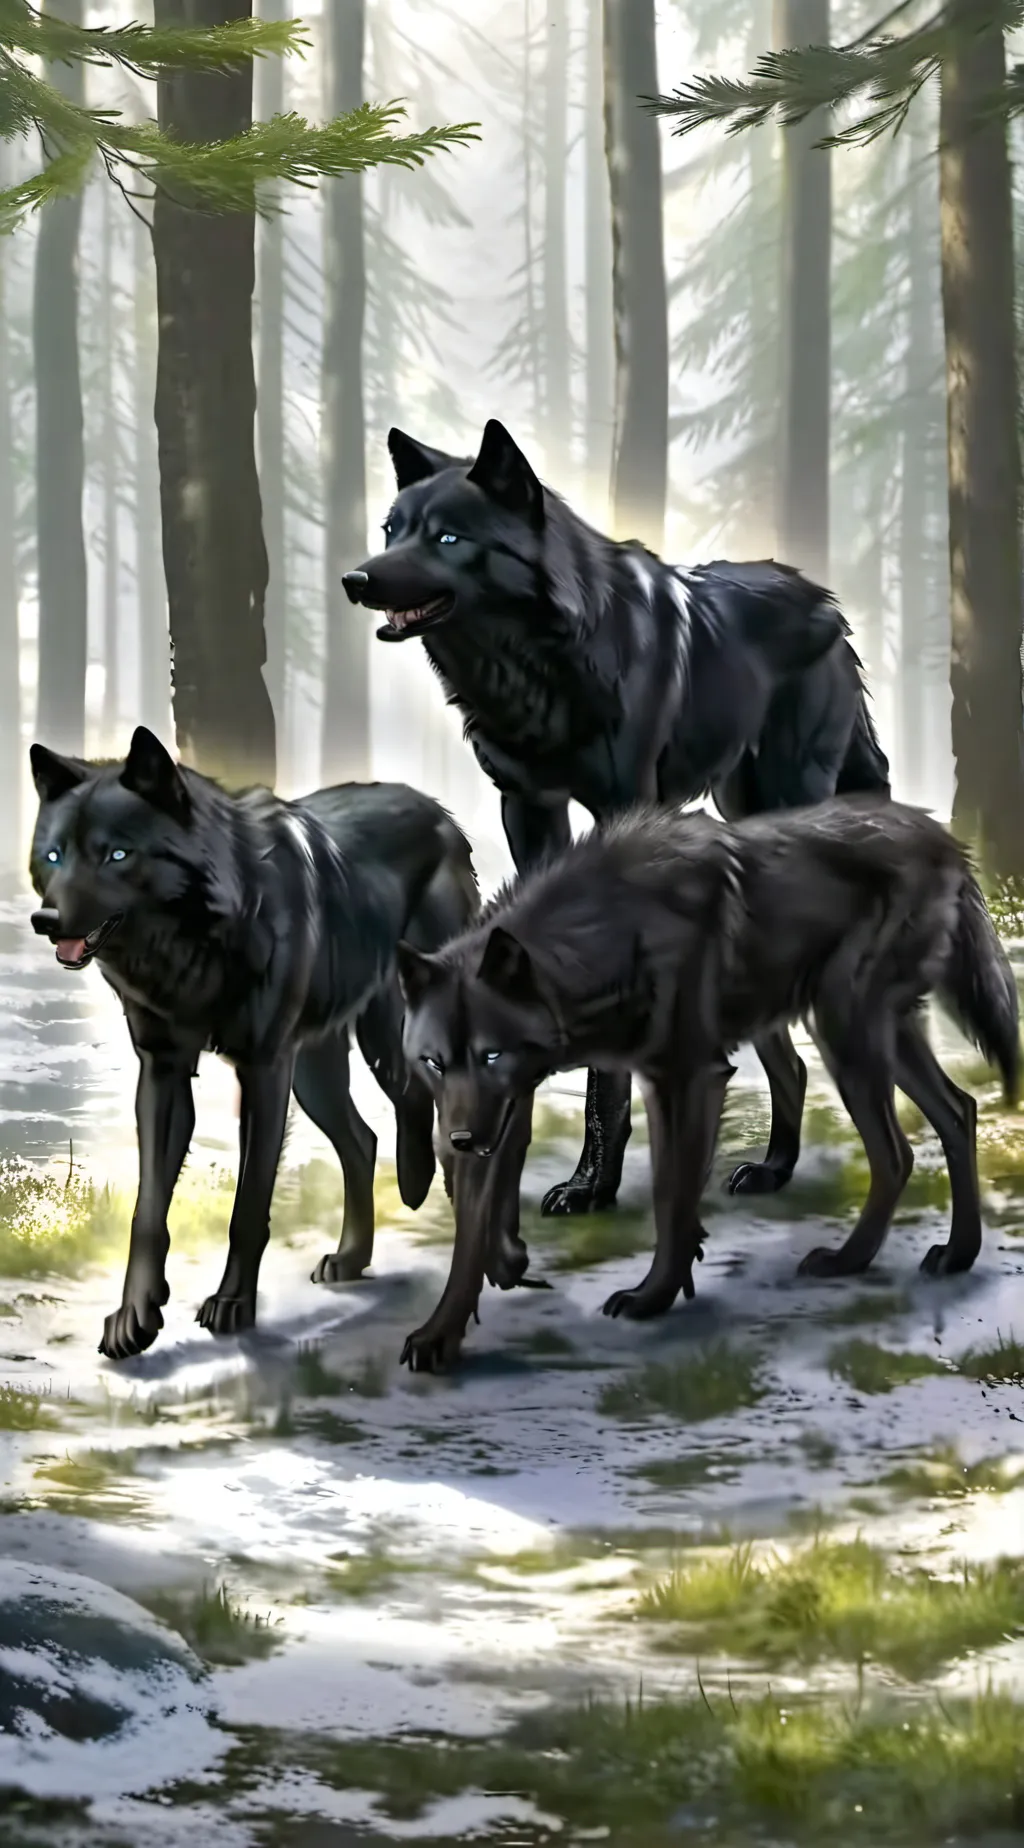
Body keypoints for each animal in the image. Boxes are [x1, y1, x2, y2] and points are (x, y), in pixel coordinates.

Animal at [28, 725, 478, 1362]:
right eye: (54, 856)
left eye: (116, 854)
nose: (46, 919)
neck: (197, 941)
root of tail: (439, 813)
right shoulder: (164, 1072)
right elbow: (147, 1212)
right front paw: (135, 1317)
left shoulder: (264, 1069)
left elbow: (248, 1206)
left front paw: (233, 1305)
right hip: (315, 1075)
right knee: (363, 1141)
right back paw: (352, 1257)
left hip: (385, 1039)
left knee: (426, 1111)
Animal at [341, 417, 890, 1227]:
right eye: (391, 530)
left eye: (446, 537)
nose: (357, 579)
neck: (537, 665)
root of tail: (823, 599)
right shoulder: (527, 808)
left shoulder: (622, 809)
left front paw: (593, 1184)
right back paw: (774, 1167)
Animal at [395, 799, 1019, 1370]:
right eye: (434, 1063)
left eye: (491, 1054)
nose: (457, 1143)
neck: (609, 933)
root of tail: (944, 839)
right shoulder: (514, 1105)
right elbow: (471, 1231)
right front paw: (440, 1332)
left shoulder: (689, 1078)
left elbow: (671, 1198)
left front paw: (652, 1297)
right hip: (877, 1037)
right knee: (958, 1112)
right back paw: (957, 1253)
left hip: (846, 1036)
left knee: (895, 1152)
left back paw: (849, 1260)